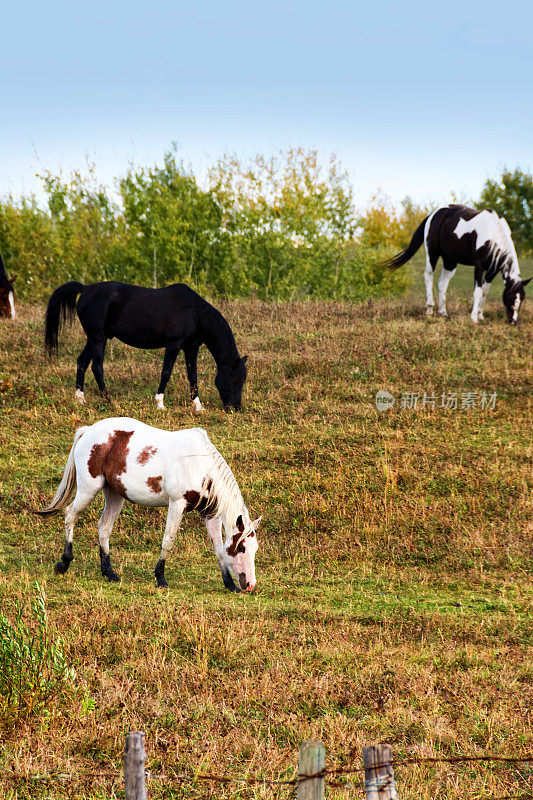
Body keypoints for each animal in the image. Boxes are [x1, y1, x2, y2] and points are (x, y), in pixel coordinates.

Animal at [32, 416, 260, 592]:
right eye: (242, 549)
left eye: (254, 548)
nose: (250, 584)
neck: (200, 466)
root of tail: (88, 430)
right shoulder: (177, 505)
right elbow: (168, 540)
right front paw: (160, 578)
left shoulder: (210, 514)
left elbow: (219, 549)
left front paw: (229, 584)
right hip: (89, 489)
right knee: (70, 514)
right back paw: (64, 562)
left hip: (114, 495)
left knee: (104, 527)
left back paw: (109, 572)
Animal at [382, 206, 528, 324]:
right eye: (511, 296)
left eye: (522, 298)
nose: (513, 321)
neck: (493, 231)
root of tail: (434, 214)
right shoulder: (479, 266)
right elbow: (478, 291)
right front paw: (474, 318)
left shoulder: (493, 269)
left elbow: (485, 292)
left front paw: (480, 316)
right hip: (432, 253)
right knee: (428, 276)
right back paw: (430, 309)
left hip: (450, 261)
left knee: (442, 283)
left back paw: (443, 312)